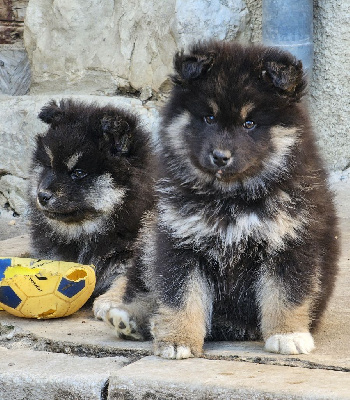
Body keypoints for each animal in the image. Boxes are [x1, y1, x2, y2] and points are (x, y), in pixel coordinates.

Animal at [93, 42, 340, 358]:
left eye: (250, 123)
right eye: (209, 118)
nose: (220, 156)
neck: (231, 198)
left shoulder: (290, 241)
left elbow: (285, 293)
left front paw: (288, 334)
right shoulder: (180, 240)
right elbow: (180, 294)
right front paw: (178, 338)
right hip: (151, 233)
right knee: (146, 287)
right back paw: (132, 318)